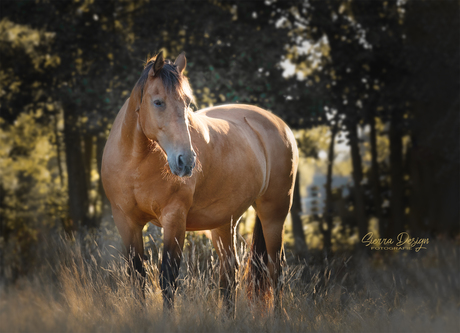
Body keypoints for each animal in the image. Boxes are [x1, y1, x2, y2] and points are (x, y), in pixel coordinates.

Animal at [100, 50, 298, 310]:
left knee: (275, 268)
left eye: (187, 103)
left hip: (274, 213)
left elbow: (168, 279)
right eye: (158, 102)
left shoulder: (174, 219)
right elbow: (137, 277)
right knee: (229, 272)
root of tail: (281, 126)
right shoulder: (126, 221)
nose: (186, 161)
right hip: (225, 222)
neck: (135, 164)